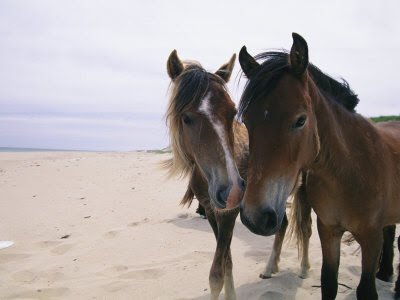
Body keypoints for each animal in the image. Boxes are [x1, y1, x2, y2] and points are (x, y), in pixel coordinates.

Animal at [163, 50, 312, 298]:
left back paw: (304, 269)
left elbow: (217, 273)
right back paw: (270, 268)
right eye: (186, 117)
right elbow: (227, 263)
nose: (232, 190)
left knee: (306, 228)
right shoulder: (213, 213)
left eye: (232, 112)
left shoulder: (229, 214)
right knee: (282, 224)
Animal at [236, 31, 400, 298]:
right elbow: (329, 282)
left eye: (301, 120)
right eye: (248, 121)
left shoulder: (371, 236)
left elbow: (366, 289)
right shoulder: (329, 230)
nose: (254, 217)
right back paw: (385, 273)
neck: (351, 171)